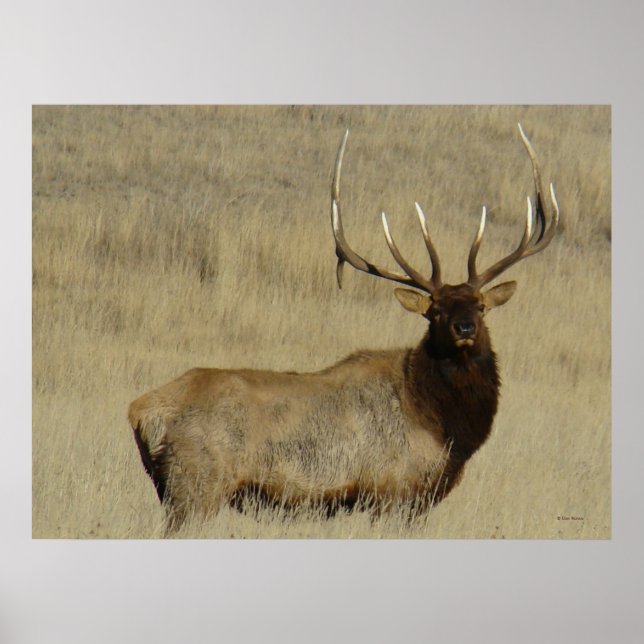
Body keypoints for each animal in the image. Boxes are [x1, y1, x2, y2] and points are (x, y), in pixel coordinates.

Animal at [129, 124, 559, 529]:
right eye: (434, 310)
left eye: (482, 306)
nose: (465, 328)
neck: (442, 427)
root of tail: (141, 411)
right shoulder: (391, 491)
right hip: (196, 485)